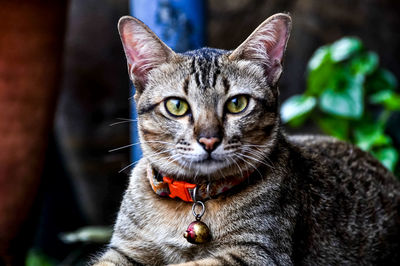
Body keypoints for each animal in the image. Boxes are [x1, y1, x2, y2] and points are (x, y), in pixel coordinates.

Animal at [92, 13, 398, 264]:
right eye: (176, 106)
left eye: (237, 104)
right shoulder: (126, 249)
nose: (209, 140)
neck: (193, 201)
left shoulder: (258, 252)